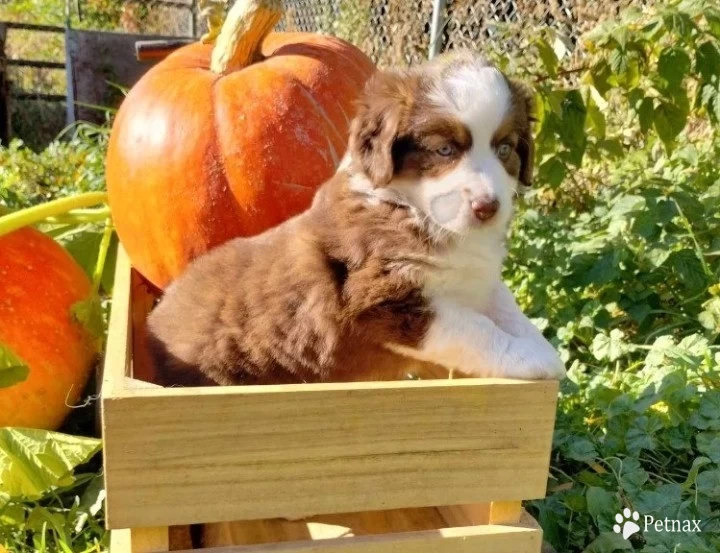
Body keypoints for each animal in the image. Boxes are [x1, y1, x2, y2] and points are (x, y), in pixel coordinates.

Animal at [148, 52, 568, 388]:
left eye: (505, 149)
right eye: (444, 150)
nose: (487, 207)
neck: (412, 211)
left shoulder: (477, 278)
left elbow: (506, 305)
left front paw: (540, 345)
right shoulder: (381, 297)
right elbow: (475, 328)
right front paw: (535, 360)